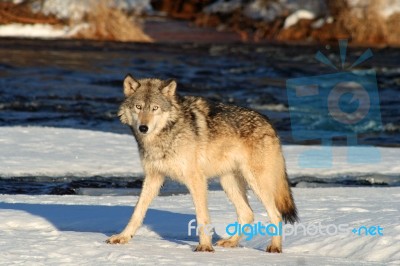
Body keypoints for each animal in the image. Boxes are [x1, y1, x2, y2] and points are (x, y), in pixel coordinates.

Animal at [106, 74, 296, 251]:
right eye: (138, 107)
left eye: (155, 108)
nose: (143, 128)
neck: (168, 133)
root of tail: (269, 123)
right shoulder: (154, 177)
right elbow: (137, 212)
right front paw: (123, 237)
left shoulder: (196, 179)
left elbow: (202, 216)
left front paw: (204, 247)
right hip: (228, 182)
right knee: (247, 214)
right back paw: (230, 242)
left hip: (256, 182)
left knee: (276, 214)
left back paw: (274, 248)